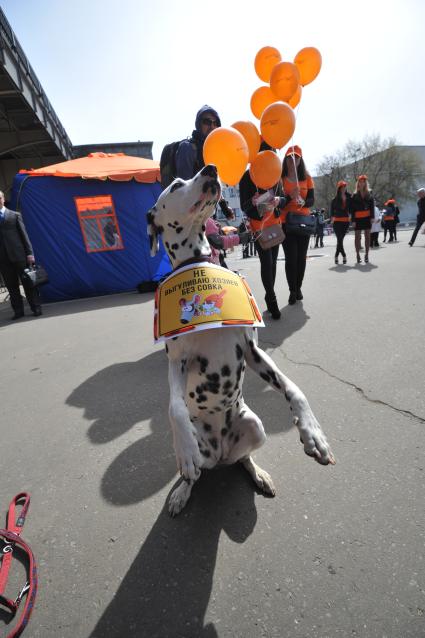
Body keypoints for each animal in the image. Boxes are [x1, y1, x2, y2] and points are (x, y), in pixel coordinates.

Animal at [147, 166, 334, 520]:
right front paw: (185, 450)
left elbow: (294, 389)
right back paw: (182, 490)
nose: (210, 169)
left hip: (254, 426)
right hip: (205, 447)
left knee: (243, 458)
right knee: (194, 474)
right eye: (176, 185)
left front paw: (313, 432)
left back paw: (258, 474)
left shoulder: (252, 352)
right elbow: (175, 408)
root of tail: (220, 455)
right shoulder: (177, 362)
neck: (198, 268)